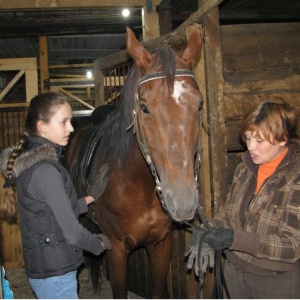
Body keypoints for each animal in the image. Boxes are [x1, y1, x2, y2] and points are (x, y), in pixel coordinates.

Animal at [65, 27, 203, 298]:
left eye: (200, 104)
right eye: (144, 108)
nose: (182, 200)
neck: (138, 183)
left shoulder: (161, 244)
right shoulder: (117, 251)